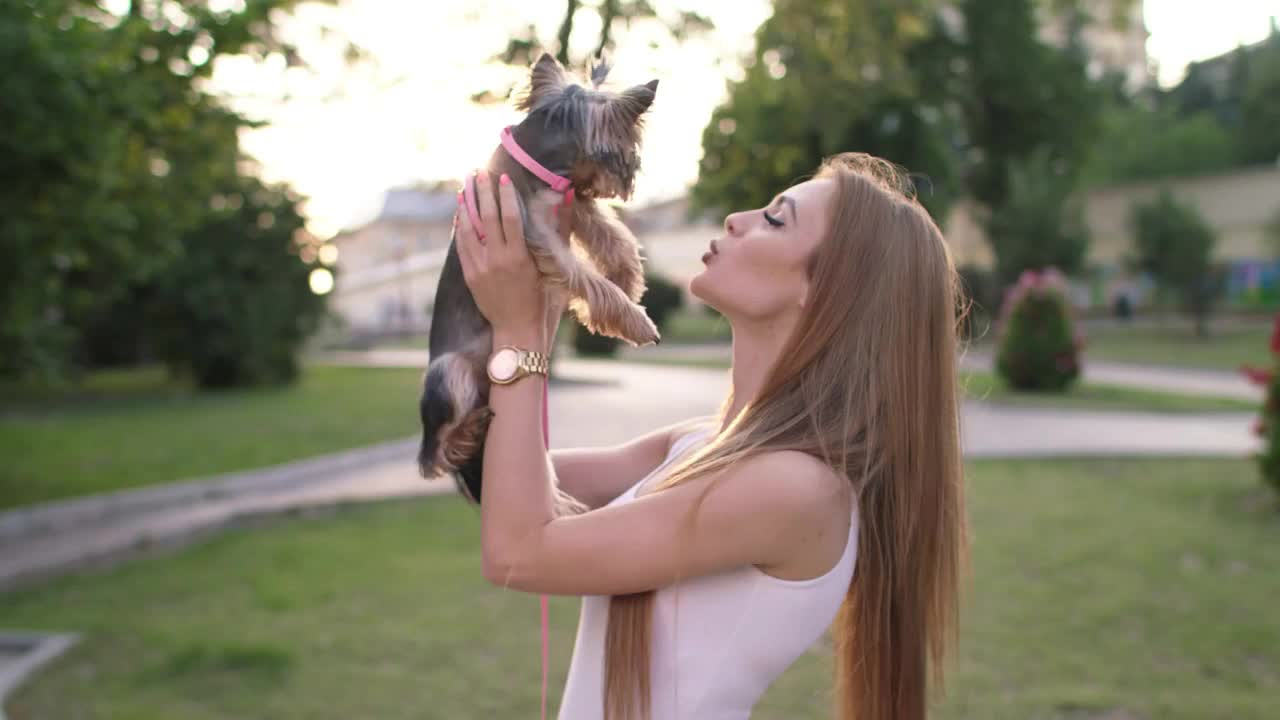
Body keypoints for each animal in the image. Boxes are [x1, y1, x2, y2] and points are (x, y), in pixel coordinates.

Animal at [419, 53, 660, 502]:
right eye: (630, 150)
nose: (631, 178)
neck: (541, 163)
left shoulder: (569, 202)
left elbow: (610, 232)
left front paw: (627, 276)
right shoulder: (541, 236)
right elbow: (588, 277)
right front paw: (635, 319)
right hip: (448, 372)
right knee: (432, 458)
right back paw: (464, 435)